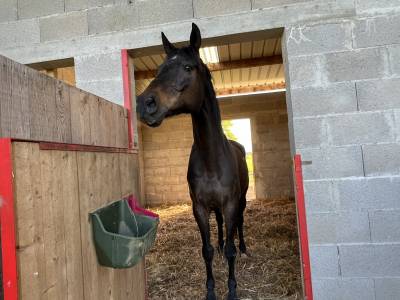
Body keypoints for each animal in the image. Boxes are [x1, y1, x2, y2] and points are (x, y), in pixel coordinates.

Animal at [139, 24, 248, 300]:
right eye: (159, 69)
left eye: (188, 67)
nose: (144, 104)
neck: (211, 160)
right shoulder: (198, 207)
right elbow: (206, 249)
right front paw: (210, 290)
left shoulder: (231, 203)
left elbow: (231, 247)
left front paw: (232, 289)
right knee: (220, 226)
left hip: (240, 200)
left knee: (240, 224)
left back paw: (244, 248)